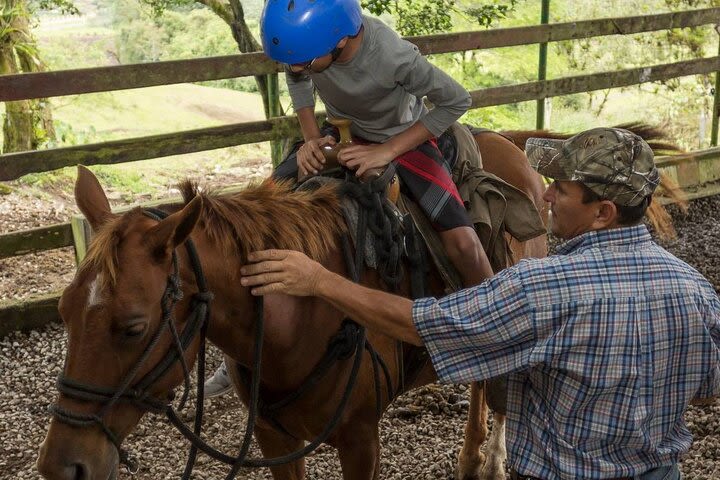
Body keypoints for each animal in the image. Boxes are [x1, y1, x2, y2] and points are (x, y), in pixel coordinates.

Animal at [36, 131, 544, 480]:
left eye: (133, 328)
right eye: (64, 313)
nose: (62, 466)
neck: (295, 320)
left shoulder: (361, 440)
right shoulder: (273, 436)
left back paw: (492, 460)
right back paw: (471, 456)